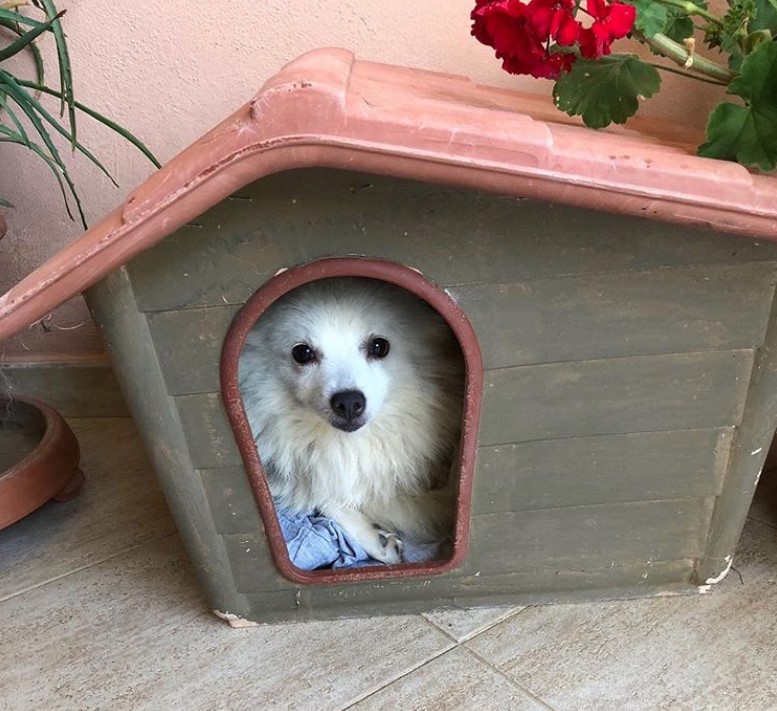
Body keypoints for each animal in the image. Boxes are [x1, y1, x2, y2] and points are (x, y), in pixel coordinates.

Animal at [239, 276, 464, 564]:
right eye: (302, 353)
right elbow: (327, 496)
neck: (348, 443)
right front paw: (381, 543)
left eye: (379, 346)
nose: (348, 402)